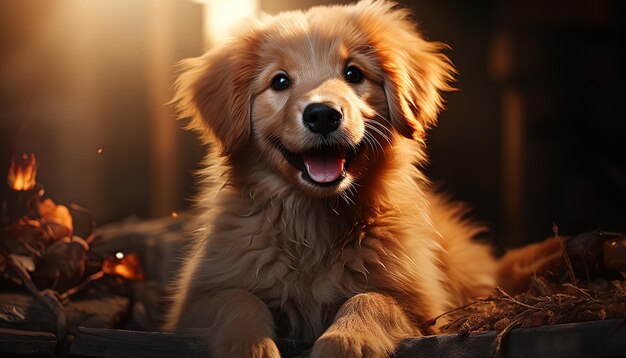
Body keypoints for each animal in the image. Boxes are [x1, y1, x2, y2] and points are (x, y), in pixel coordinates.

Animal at [165, 1, 498, 356]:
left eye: (353, 73)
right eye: (279, 81)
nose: (322, 114)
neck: (315, 223)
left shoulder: (421, 303)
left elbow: (371, 298)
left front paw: (347, 340)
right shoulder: (198, 298)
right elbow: (238, 298)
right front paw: (248, 345)